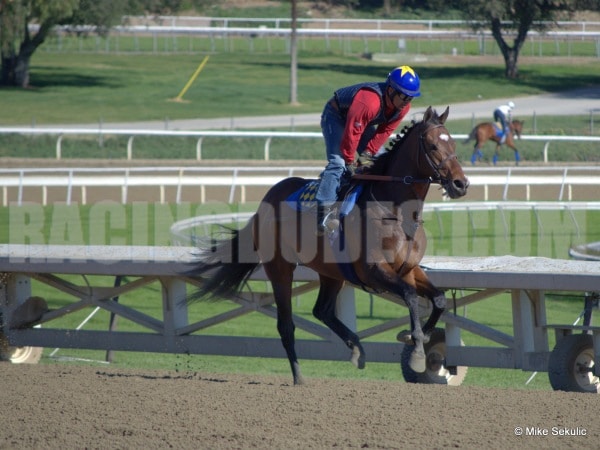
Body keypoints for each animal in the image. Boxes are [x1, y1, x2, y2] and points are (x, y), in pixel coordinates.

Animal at [185, 106, 469, 385]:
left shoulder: (409, 269)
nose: (461, 184)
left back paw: (356, 348)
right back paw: (299, 376)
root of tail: (264, 203)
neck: (397, 211)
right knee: (286, 325)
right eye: (433, 145)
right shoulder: (374, 270)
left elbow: (439, 299)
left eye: (454, 143)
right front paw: (418, 351)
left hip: (331, 271)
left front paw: (421, 335)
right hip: (279, 268)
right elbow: (410, 296)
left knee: (322, 310)